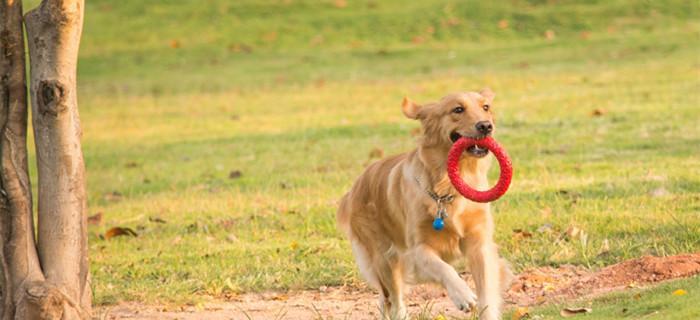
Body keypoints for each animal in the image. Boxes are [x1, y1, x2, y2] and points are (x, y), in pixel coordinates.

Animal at [336, 90, 512, 320]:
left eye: (486, 107)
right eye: (458, 109)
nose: (486, 126)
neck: (448, 190)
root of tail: (354, 188)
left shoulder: (480, 244)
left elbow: (486, 294)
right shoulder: (417, 250)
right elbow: (444, 268)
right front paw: (463, 295)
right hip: (384, 259)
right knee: (394, 300)